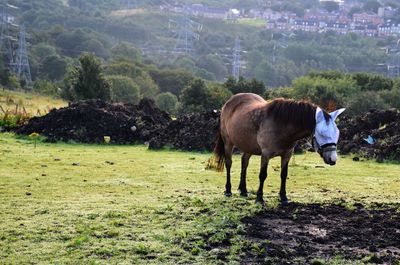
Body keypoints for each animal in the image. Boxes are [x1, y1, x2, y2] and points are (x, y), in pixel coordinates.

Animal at [211, 93, 346, 204]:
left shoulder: (287, 154)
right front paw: (259, 198)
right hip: (228, 143)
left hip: (248, 146)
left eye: (338, 133)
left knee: (244, 162)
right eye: (322, 133)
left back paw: (243, 190)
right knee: (229, 164)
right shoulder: (265, 154)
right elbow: (262, 175)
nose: (333, 159)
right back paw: (228, 190)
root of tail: (227, 104)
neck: (281, 125)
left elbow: (283, 174)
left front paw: (283, 197)